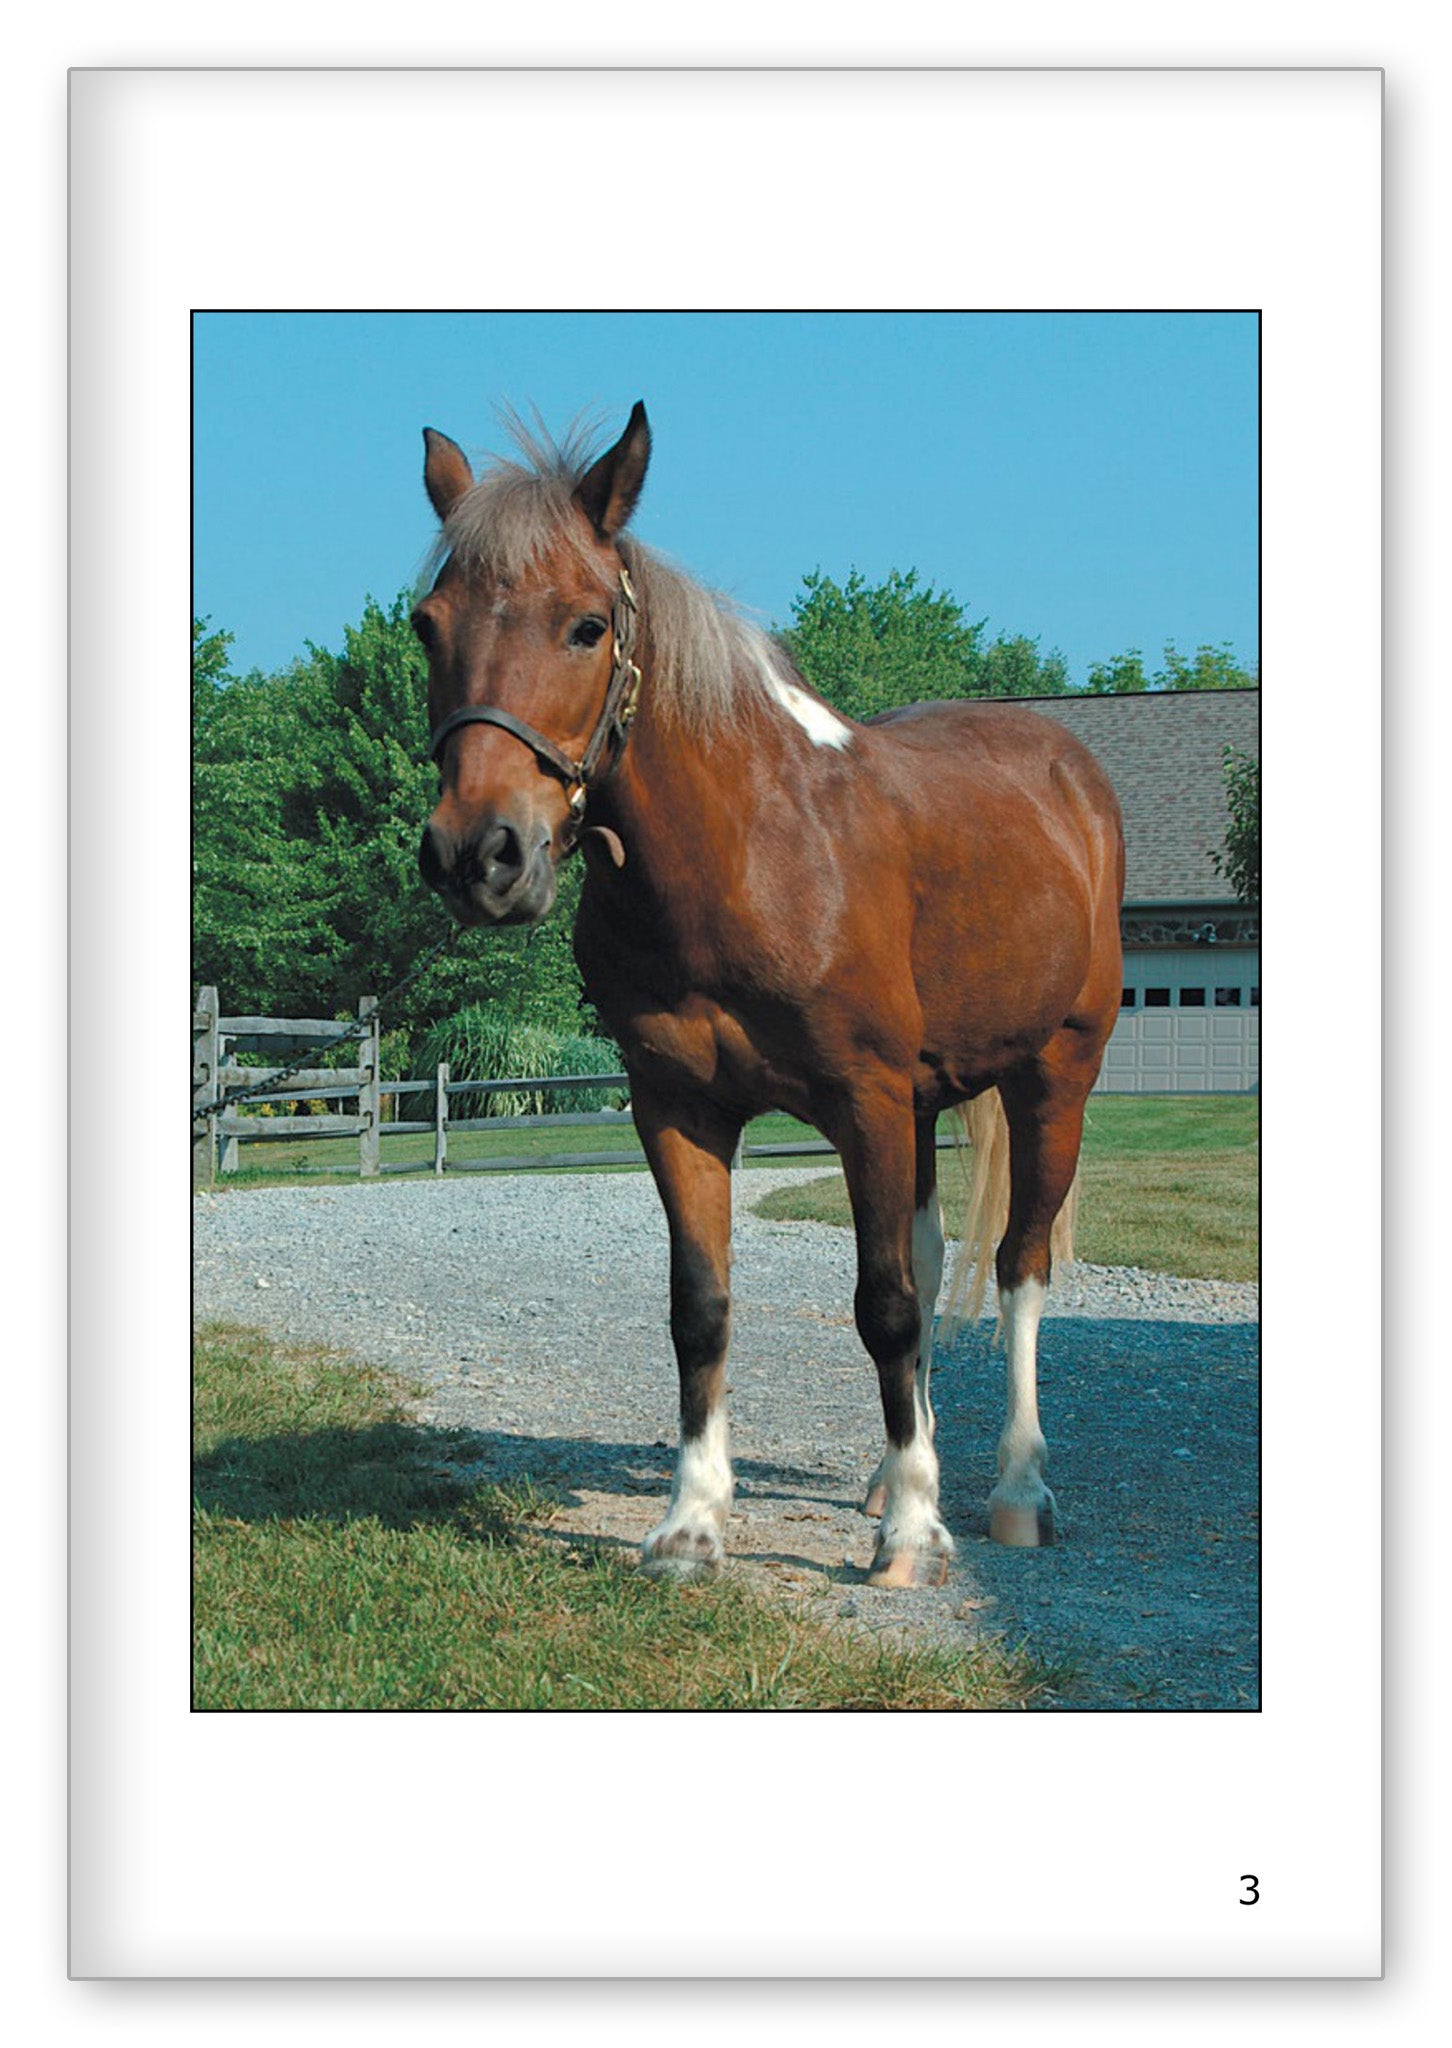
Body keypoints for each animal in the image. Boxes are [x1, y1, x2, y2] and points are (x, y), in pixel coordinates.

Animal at [414, 403, 1124, 1588]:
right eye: (428, 625)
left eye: (587, 627)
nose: (481, 855)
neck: (747, 849)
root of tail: (1068, 771)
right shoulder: (680, 1108)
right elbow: (702, 1309)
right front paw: (693, 1522)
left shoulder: (866, 1102)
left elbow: (884, 1307)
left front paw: (910, 1538)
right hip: (928, 1105)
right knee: (935, 1261)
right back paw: (894, 1471)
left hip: (1053, 1076)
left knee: (1018, 1271)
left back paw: (1015, 1490)